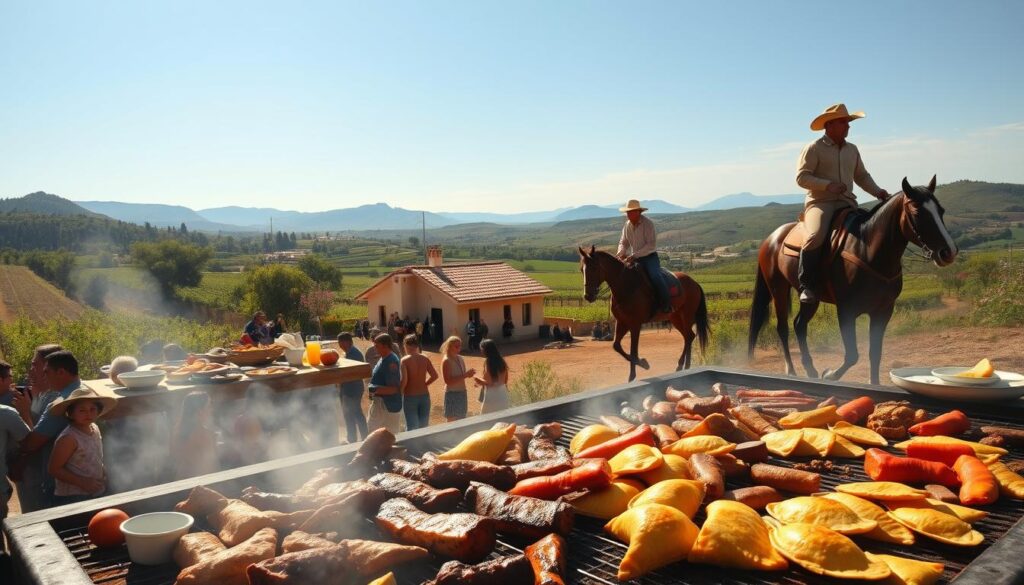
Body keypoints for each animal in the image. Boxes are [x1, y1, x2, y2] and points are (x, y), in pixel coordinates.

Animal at [577, 244, 712, 383]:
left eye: (594, 268)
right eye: (582, 269)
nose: (588, 296)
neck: (626, 285)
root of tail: (695, 283)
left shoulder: (635, 324)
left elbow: (633, 350)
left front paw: (636, 371)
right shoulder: (622, 322)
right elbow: (616, 346)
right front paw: (641, 364)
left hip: (686, 316)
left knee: (689, 336)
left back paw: (684, 365)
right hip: (676, 318)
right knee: (688, 336)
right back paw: (683, 366)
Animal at [749, 176, 954, 387]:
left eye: (941, 210)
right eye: (917, 212)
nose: (948, 252)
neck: (867, 250)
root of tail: (771, 238)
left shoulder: (883, 311)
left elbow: (875, 353)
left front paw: (874, 383)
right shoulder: (846, 310)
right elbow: (852, 355)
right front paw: (829, 374)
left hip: (810, 297)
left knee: (799, 324)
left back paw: (810, 369)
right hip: (778, 289)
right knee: (783, 327)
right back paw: (791, 370)